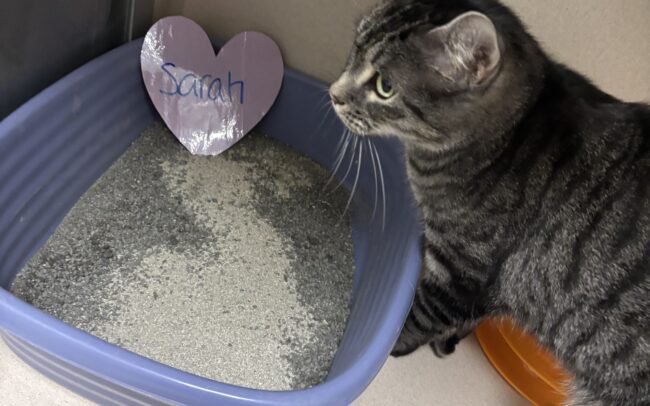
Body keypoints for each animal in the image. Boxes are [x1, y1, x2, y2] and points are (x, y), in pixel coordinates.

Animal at [329, 0, 650, 405]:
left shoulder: (463, 274)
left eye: (384, 87)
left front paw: (396, 345)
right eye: (354, 49)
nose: (332, 93)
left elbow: (418, 317)